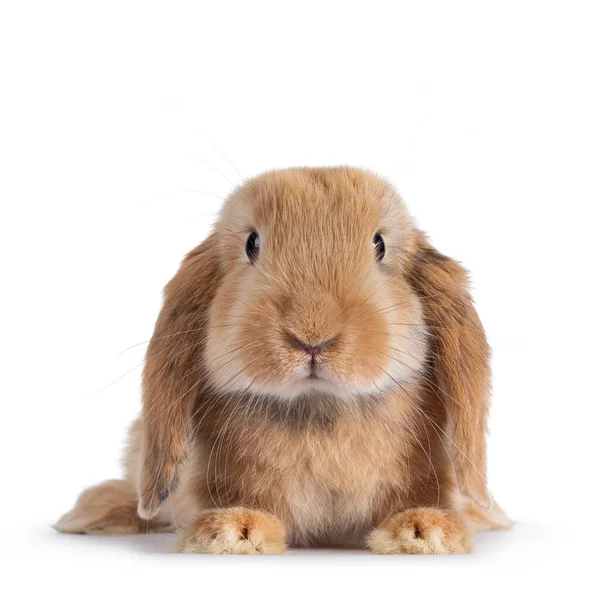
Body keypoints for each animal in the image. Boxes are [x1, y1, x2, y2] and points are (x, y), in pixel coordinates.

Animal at [55, 166, 510, 556]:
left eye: (379, 245)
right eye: (251, 244)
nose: (312, 335)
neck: (319, 407)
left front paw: (425, 530)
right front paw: (232, 530)